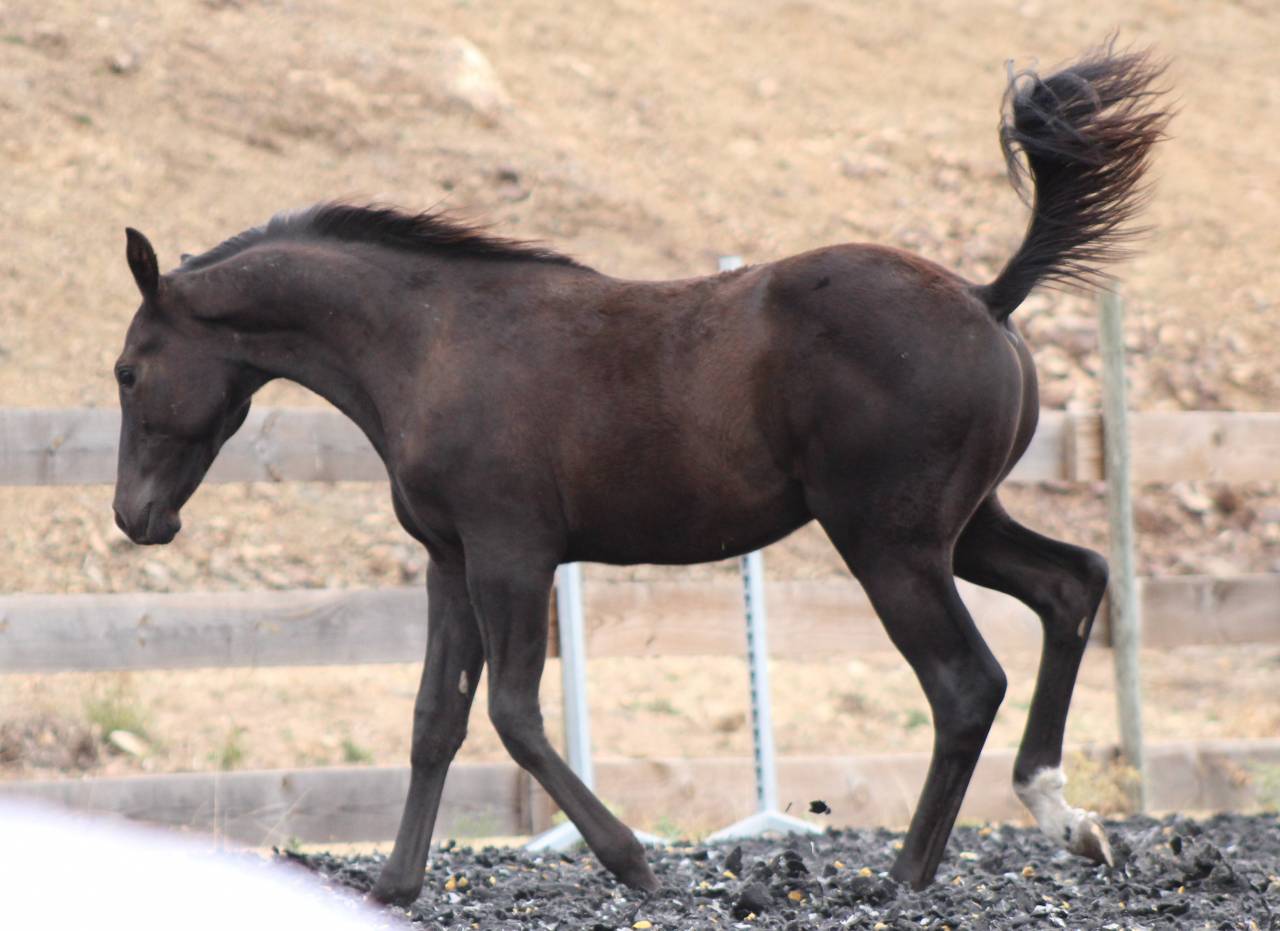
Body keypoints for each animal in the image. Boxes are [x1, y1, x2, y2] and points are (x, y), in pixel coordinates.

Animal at [112, 43, 1168, 903]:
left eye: (127, 370)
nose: (136, 518)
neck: (430, 343)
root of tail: (989, 296)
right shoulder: (450, 558)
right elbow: (433, 719)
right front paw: (395, 886)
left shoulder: (513, 552)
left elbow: (512, 713)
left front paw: (633, 861)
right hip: (961, 525)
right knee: (1071, 584)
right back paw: (1065, 817)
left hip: (890, 542)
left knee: (964, 681)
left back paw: (906, 874)